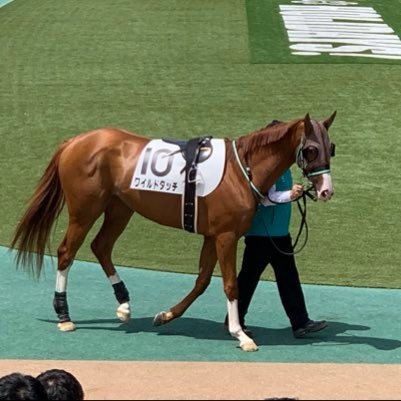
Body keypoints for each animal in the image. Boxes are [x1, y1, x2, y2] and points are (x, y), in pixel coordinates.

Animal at [10, 111, 334, 350]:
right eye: (311, 149)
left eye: (331, 148)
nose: (326, 191)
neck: (241, 171)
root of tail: (75, 140)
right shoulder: (226, 236)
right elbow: (231, 284)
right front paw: (241, 335)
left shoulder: (212, 235)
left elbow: (202, 281)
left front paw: (165, 315)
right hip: (84, 210)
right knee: (67, 252)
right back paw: (64, 315)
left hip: (120, 208)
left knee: (100, 246)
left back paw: (124, 305)